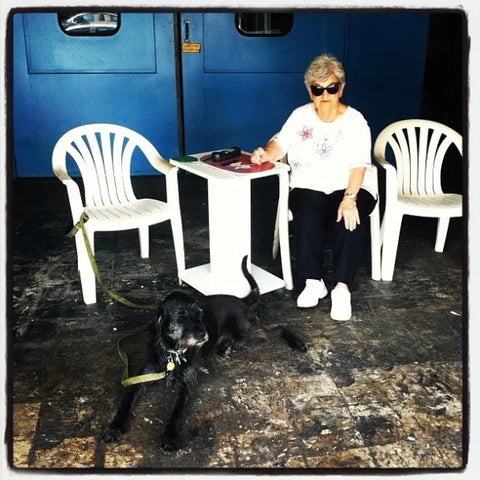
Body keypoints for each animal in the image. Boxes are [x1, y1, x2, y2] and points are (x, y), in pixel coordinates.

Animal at [102, 256, 308, 452]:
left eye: (199, 314)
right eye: (180, 315)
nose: (203, 334)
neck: (174, 353)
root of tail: (241, 300)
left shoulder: (188, 384)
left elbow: (176, 411)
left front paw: (169, 436)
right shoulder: (142, 377)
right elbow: (125, 403)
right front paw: (114, 428)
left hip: (244, 337)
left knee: (276, 329)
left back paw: (297, 343)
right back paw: (225, 348)